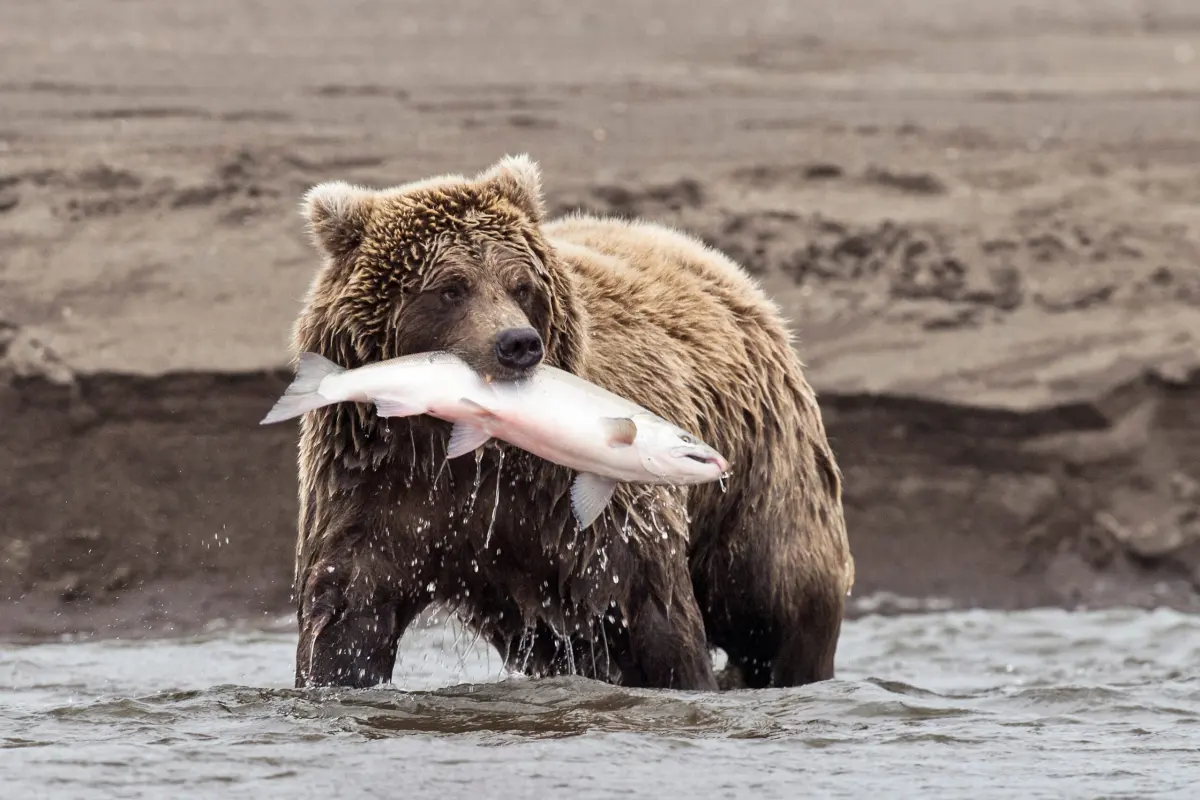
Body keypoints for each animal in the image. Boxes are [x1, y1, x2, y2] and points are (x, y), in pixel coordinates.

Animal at [285, 154, 853, 691]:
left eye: (520, 285)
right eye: (451, 288)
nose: (517, 343)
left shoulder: (580, 505)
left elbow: (649, 609)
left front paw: (687, 678)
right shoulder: (380, 483)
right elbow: (349, 611)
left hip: (762, 472)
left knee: (778, 599)